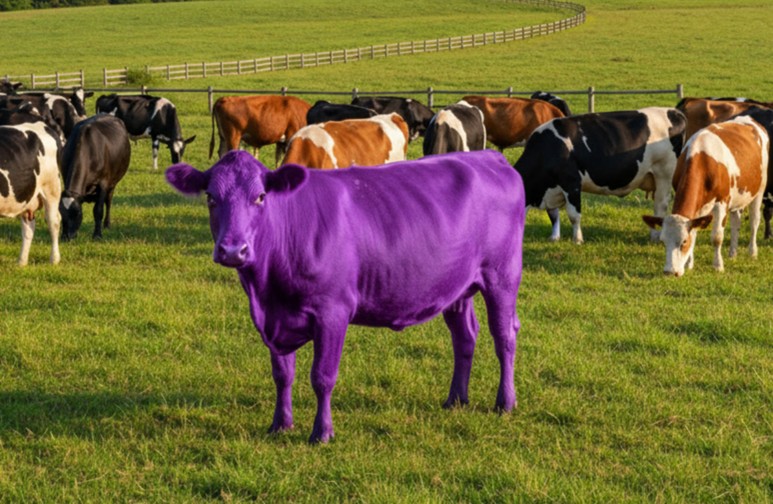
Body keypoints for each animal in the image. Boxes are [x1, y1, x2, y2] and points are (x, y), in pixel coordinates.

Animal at [0, 121, 62, 265]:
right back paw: (21, 262)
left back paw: (54, 259)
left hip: (51, 187)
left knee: (54, 221)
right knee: (28, 229)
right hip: (27, 196)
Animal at [165, 149, 525, 443]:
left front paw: (322, 432)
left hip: (502, 276)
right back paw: (456, 399)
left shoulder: (333, 311)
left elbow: (322, 377)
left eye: (261, 197)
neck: (267, 288)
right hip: (457, 286)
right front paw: (280, 425)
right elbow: (282, 374)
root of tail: (489, 157)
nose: (232, 250)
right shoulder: (274, 318)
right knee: (465, 336)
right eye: (211, 197)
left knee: (504, 336)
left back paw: (505, 402)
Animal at [515, 107, 687, 243]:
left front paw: (577, 240)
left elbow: (573, 215)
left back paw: (655, 237)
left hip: (664, 172)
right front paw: (554, 237)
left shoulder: (571, 182)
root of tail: (674, 111)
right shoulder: (552, 188)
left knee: (660, 204)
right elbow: (553, 214)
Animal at [643, 115, 769, 276]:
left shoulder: (722, 202)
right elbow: (695, 232)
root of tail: (749, 119)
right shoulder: (698, 207)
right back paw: (732, 253)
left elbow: (717, 237)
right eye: (663, 241)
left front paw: (718, 266)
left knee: (754, 221)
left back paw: (752, 252)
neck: (702, 160)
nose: (669, 272)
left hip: (759, 190)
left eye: (683, 242)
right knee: (736, 223)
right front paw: (689, 264)